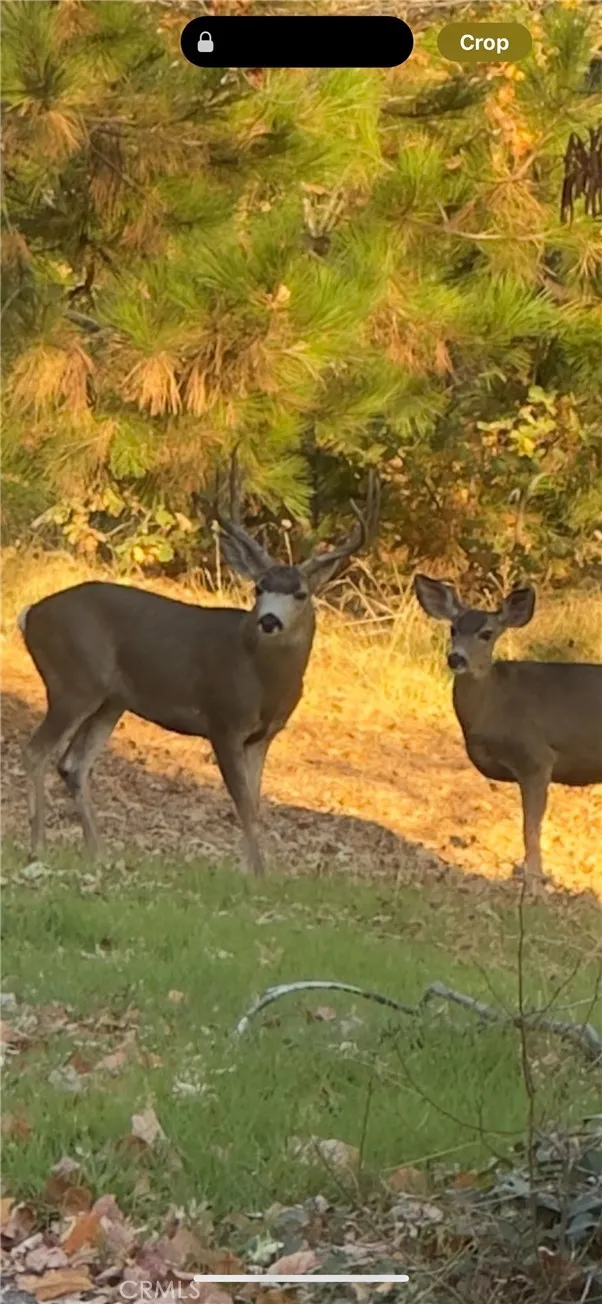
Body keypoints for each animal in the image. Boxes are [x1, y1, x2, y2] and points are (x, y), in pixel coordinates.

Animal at [18, 475, 378, 875]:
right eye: (259, 587)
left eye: (300, 593)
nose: (269, 620)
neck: (265, 683)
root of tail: (30, 614)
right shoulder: (223, 721)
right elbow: (244, 806)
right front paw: (259, 876)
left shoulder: (263, 736)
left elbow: (255, 804)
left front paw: (251, 871)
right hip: (73, 682)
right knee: (36, 751)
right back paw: (37, 847)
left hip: (111, 700)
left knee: (73, 764)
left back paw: (99, 855)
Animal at [413, 574, 602, 884]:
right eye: (453, 628)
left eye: (487, 633)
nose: (456, 658)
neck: (495, 705)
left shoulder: (537, 757)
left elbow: (530, 827)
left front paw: (534, 877)